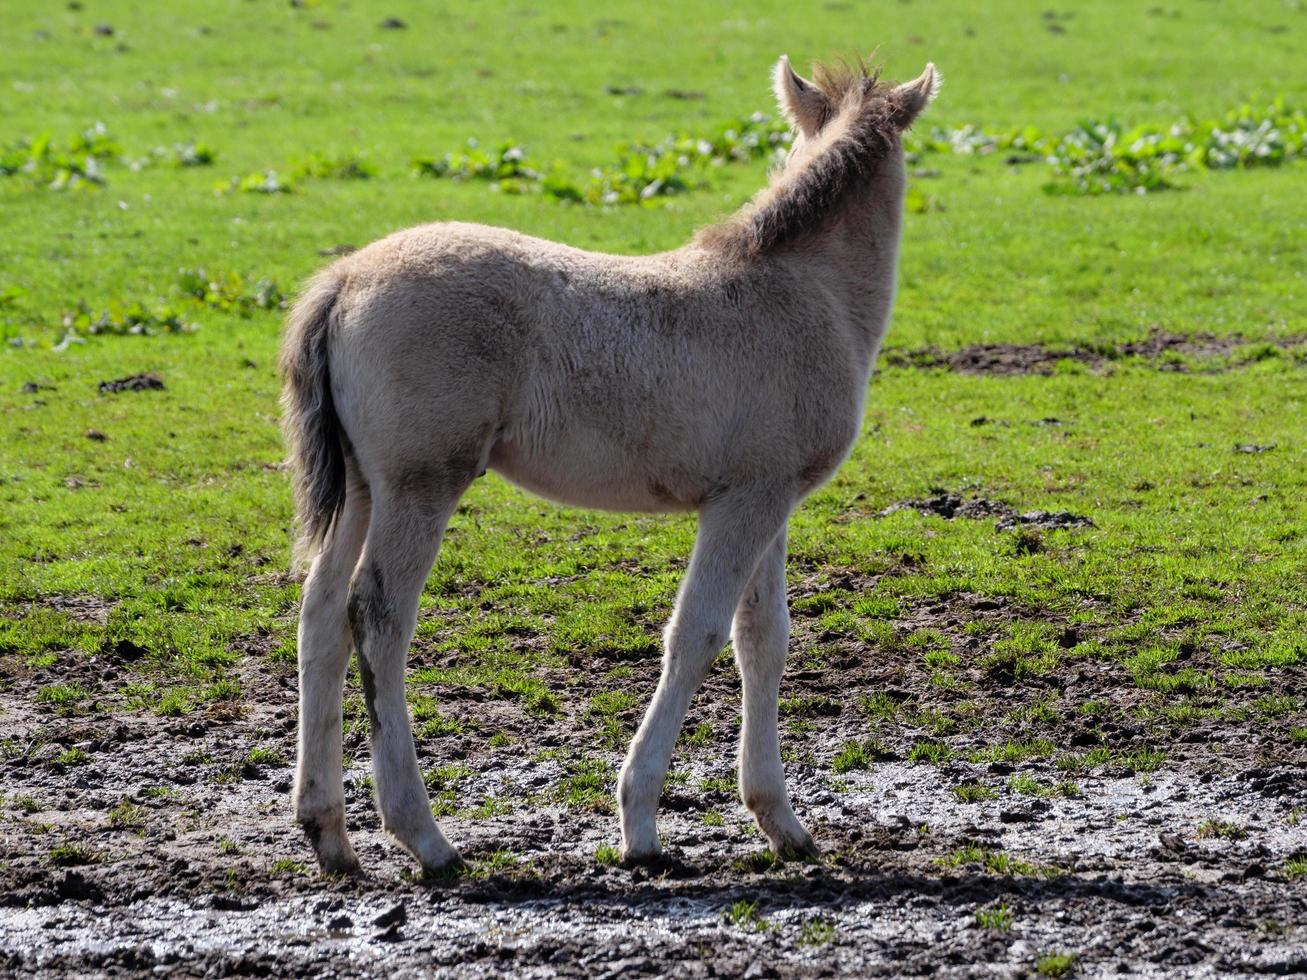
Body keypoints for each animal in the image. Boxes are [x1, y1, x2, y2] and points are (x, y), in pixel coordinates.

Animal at [283, 55, 941, 872]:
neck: (803, 292)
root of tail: (343, 280)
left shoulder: (769, 500)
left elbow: (763, 640)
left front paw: (781, 822)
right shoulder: (744, 502)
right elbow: (695, 635)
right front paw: (641, 825)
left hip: (365, 486)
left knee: (319, 612)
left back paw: (329, 833)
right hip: (421, 483)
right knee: (376, 616)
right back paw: (426, 838)